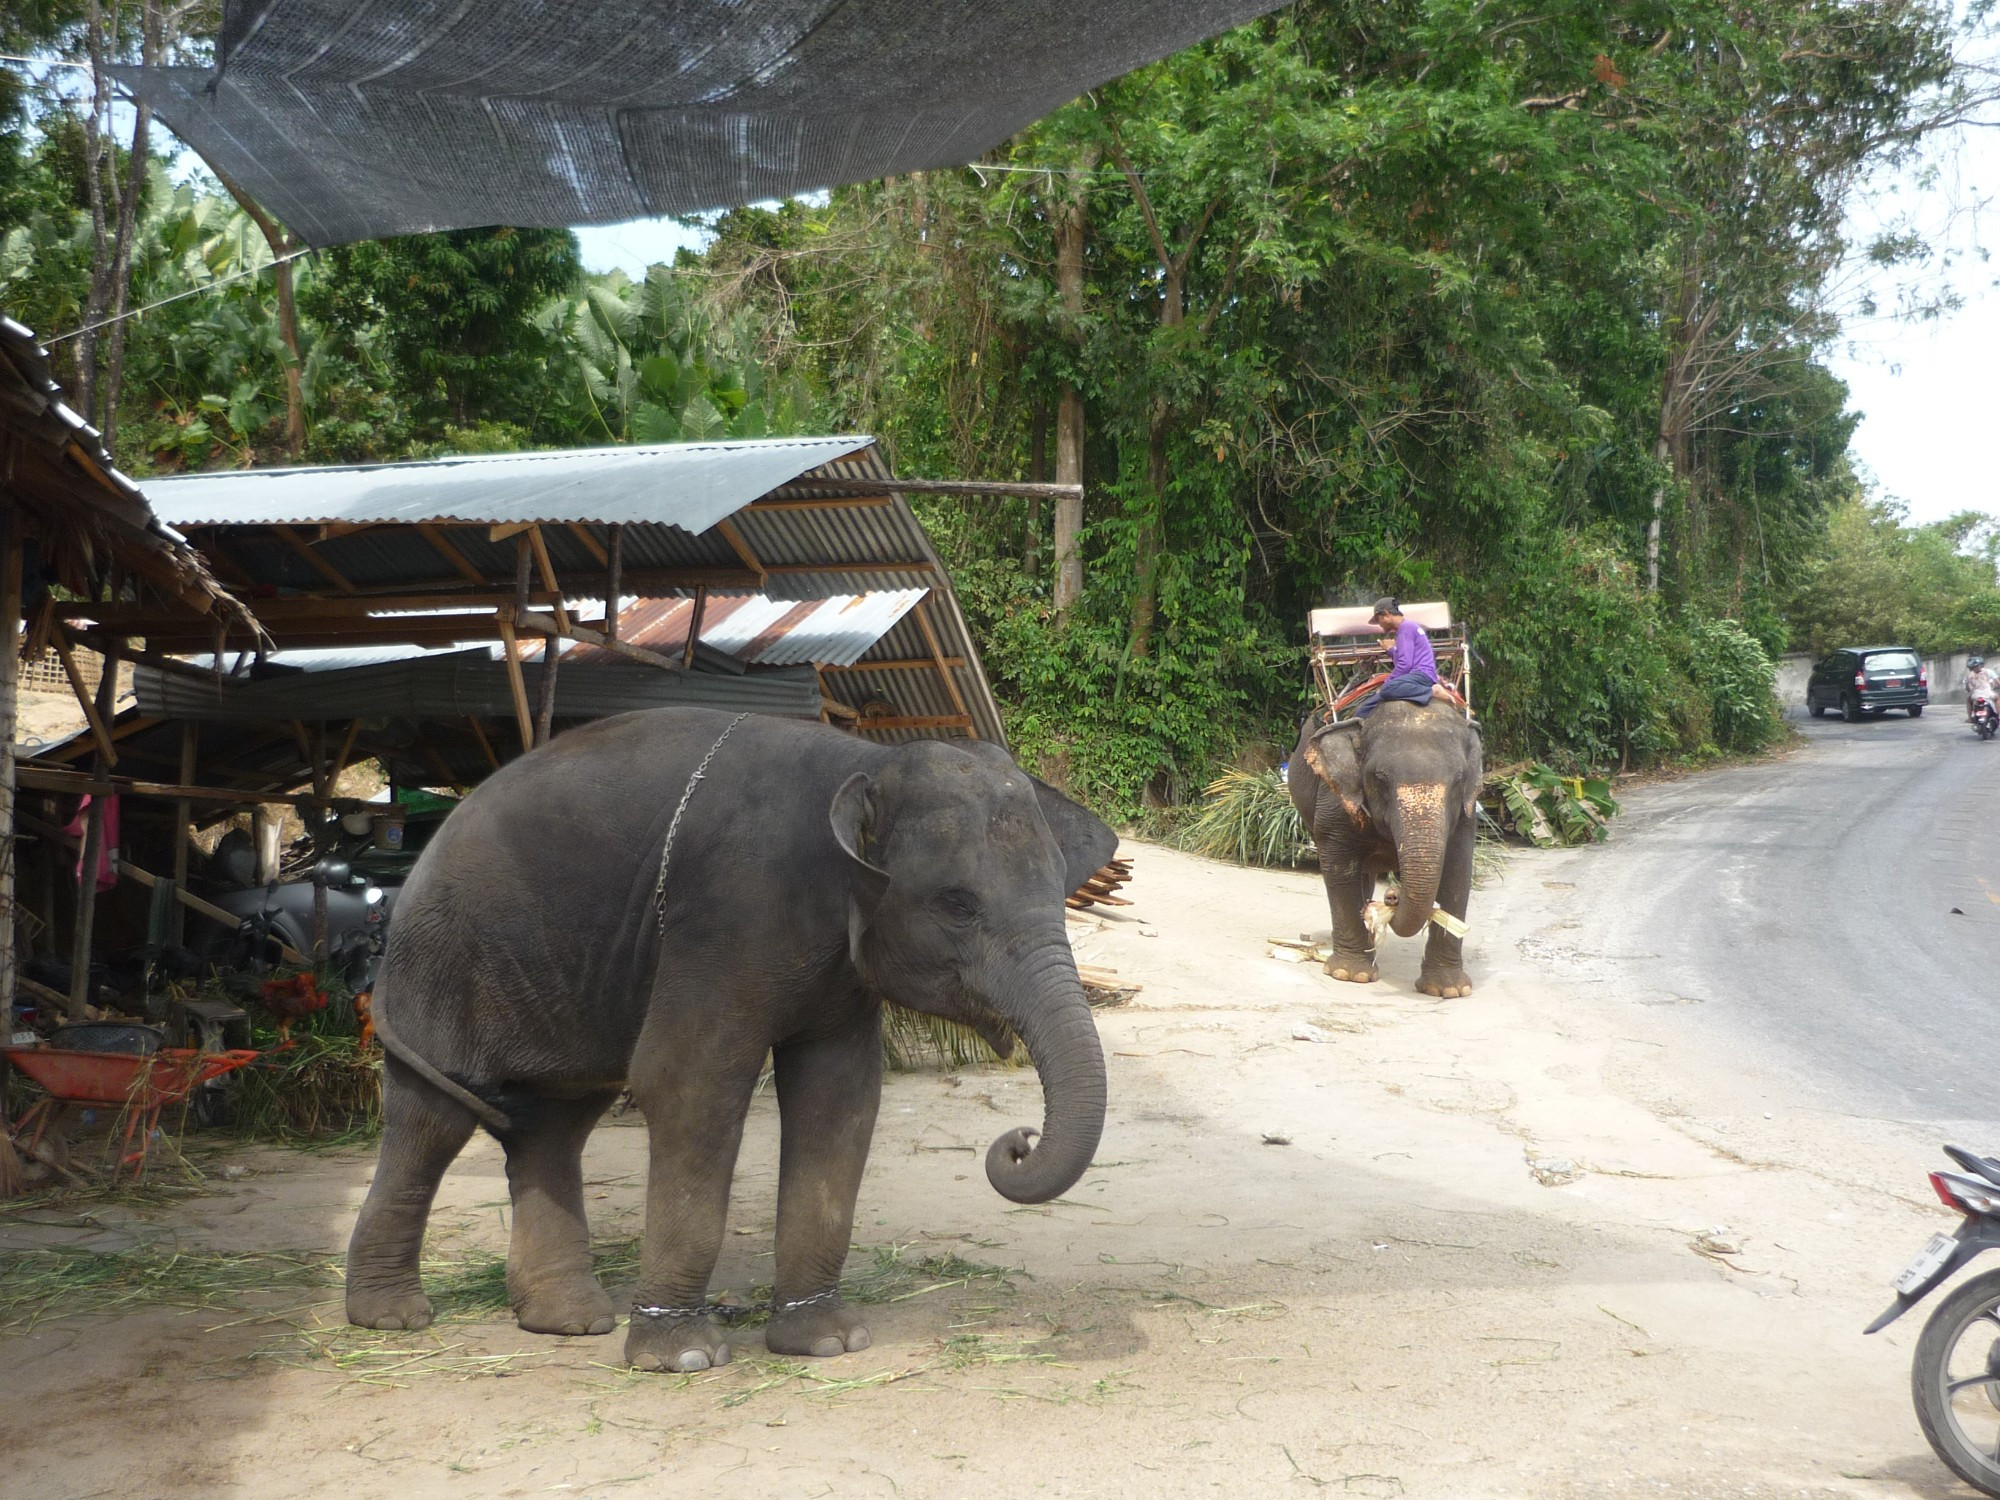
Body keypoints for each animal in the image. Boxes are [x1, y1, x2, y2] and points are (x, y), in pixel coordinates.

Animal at [350, 712, 1120, 1384]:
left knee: (557, 1121)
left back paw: (568, 1321)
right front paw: (683, 1359)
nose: (1018, 1140)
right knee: (435, 1117)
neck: (864, 761)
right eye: (959, 904)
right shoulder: (725, 914)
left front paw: (829, 1343)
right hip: (441, 961)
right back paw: (392, 1319)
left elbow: (840, 1097)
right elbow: (689, 1083)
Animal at [1288, 704, 1480, 1000]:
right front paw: (1350, 975)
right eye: (1379, 778)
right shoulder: (1336, 803)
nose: (1392, 895)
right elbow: (1339, 868)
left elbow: (1457, 872)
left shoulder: (1465, 814)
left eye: (1459, 779)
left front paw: (1448, 990)